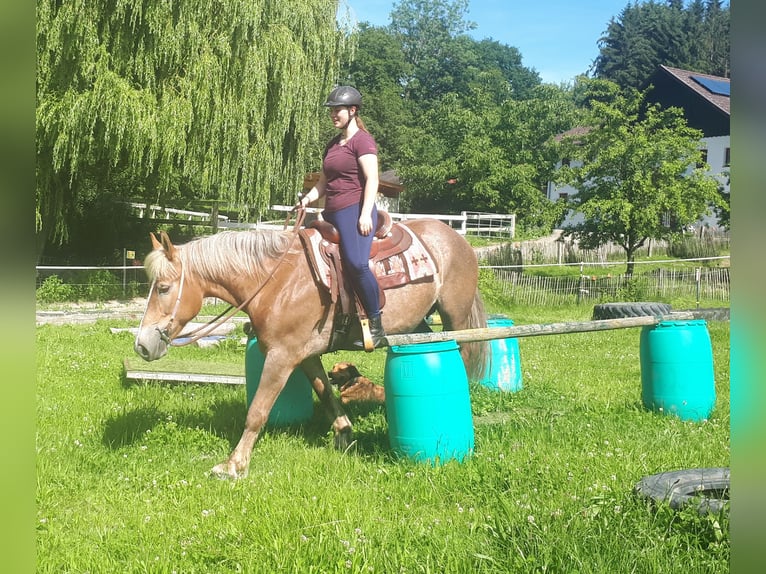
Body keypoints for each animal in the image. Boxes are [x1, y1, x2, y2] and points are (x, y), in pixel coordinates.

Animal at [134, 218, 488, 480]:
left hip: (455, 317)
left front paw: (233, 465)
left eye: (163, 288)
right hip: (417, 326)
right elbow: (326, 394)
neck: (275, 282)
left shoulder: (281, 357)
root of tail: (456, 238)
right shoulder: (304, 356)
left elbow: (257, 412)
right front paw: (344, 435)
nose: (142, 346)